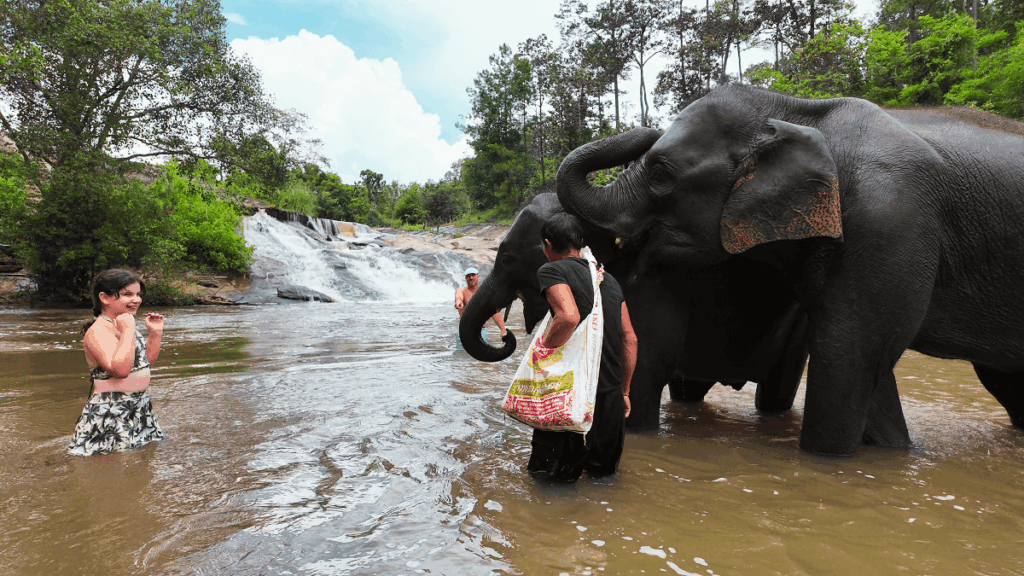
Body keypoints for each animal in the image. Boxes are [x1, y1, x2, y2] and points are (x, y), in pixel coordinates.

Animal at [556, 83, 1024, 456]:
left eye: (659, 174)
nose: (647, 131)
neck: (799, 111)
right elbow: (865, 360)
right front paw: (894, 452)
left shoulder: (889, 222)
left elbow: (850, 351)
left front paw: (830, 461)